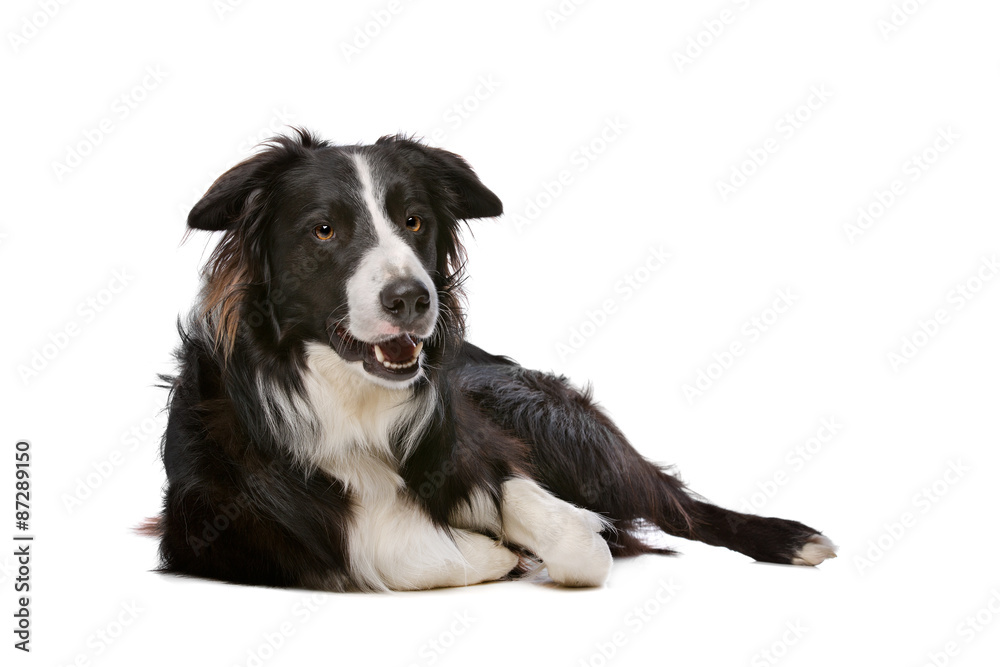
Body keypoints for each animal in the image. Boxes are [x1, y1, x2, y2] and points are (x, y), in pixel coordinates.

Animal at [154, 130, 836, 588]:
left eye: (414, 221)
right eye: (323, 230)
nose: (411, 298)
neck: (350, 397)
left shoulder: (480, 450)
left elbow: (572, 537)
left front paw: (558, 538)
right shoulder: (216, 533)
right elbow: (404, 551)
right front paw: (492, 553)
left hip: (544, 413)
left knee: (674, 503)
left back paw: (790, 539)